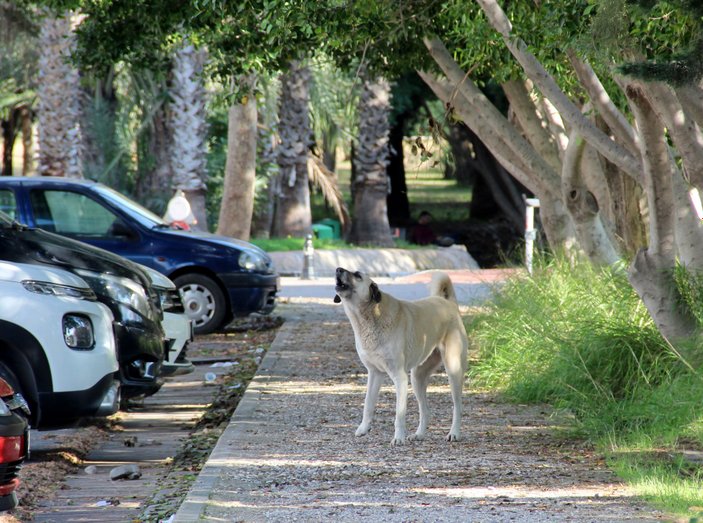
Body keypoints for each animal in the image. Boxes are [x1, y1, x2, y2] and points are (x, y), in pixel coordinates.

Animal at [334, 268, 468, 444]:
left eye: (357, 275)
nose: (338, 269)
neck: (371, 315)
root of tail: (449, 303)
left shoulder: (399, 377)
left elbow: (399, 414)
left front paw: (398, 438)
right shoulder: (374, 374)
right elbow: (368, 404)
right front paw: (363, 428)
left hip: (453, 369)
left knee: (458, 406)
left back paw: (454, 433)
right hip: (417, 378)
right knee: (425, 410)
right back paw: (419, 434)